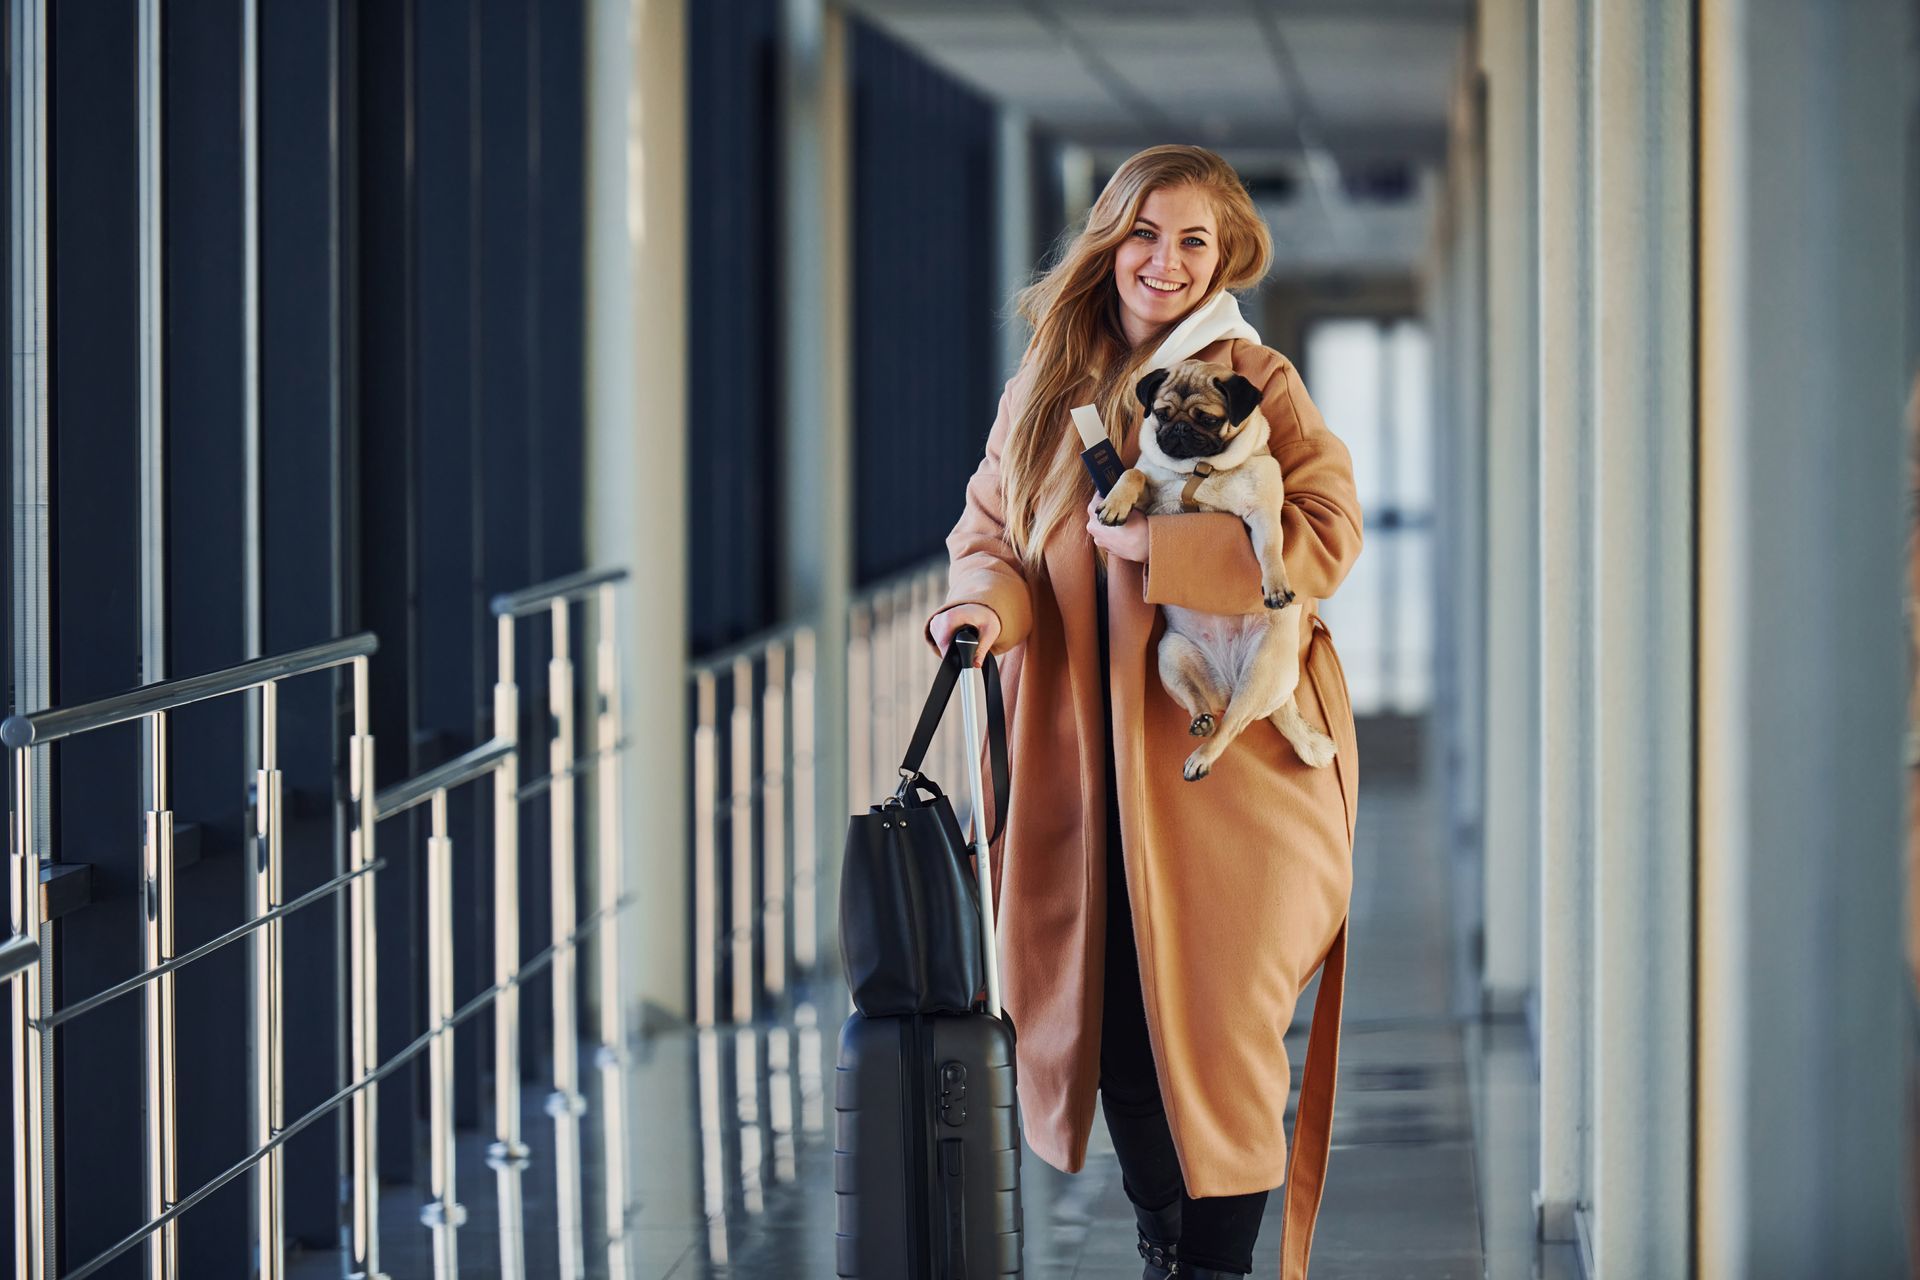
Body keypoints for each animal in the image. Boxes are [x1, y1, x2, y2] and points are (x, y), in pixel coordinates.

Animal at [1098, 360, 1336, 782]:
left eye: (1207, 419)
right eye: (1162, 413)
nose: (1178, 430)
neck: (1199, 471)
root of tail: (1228, 683)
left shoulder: (1262, 513)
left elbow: (1271, 549)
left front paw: (1276, 585)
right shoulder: (1151, 497)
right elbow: (1133, 475)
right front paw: (1115, 503)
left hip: (1258, 672)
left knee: (1232, 726)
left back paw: (1202, 757)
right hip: (1171, 656)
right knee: (1200, 704)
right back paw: (1201, 721)